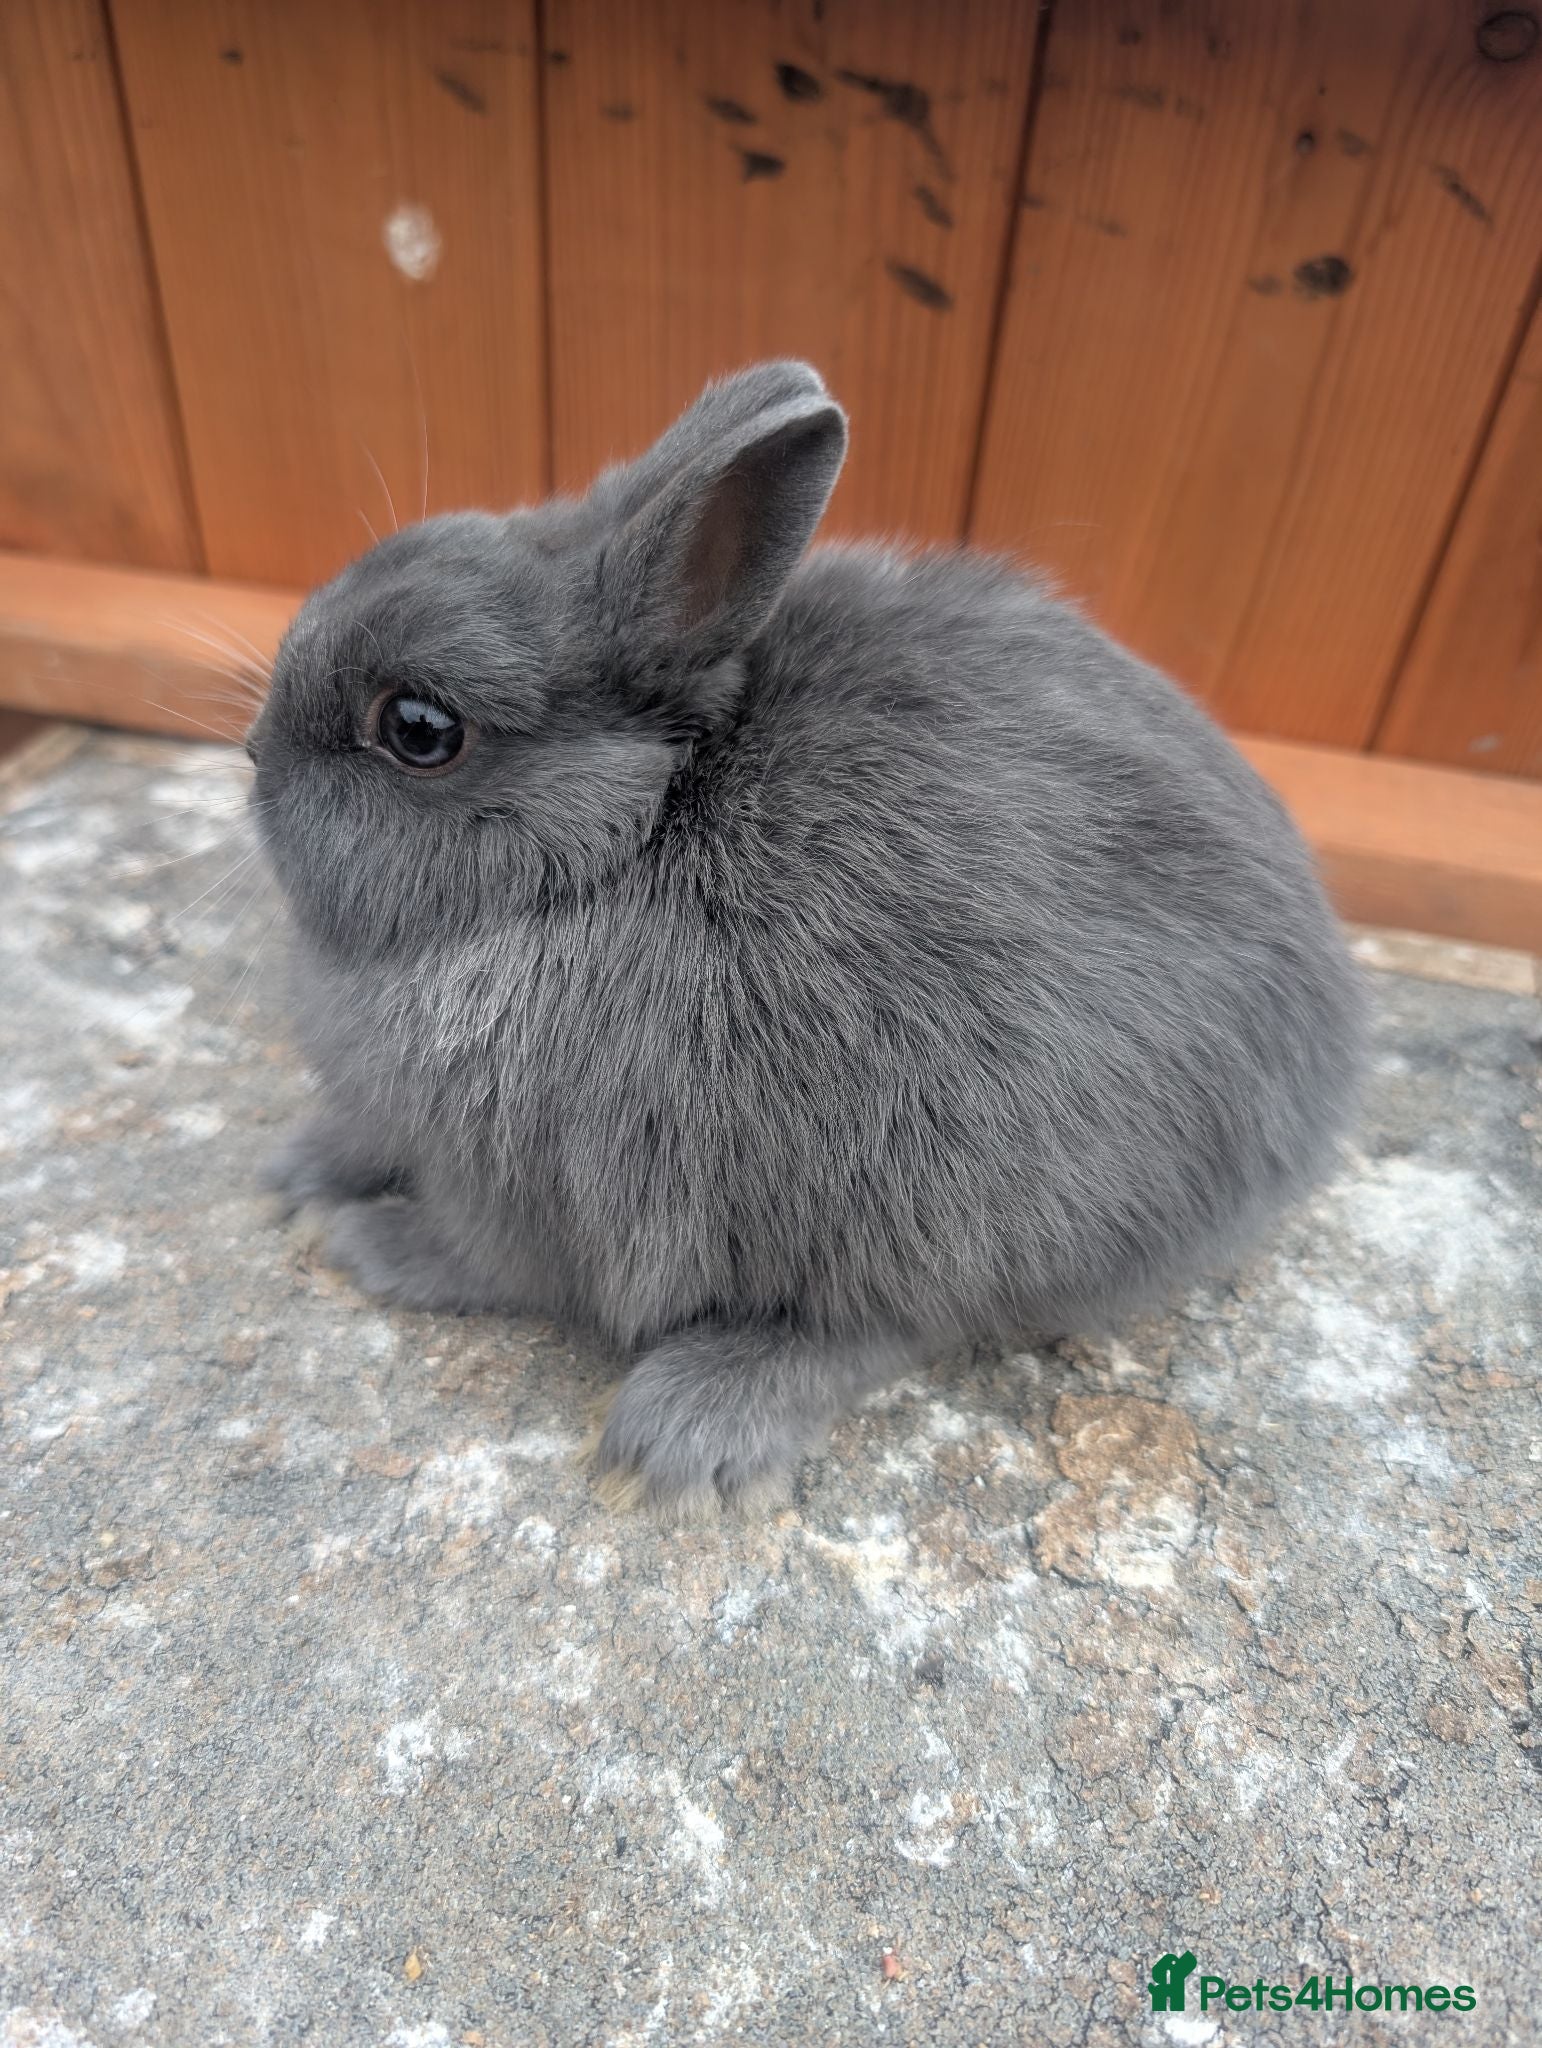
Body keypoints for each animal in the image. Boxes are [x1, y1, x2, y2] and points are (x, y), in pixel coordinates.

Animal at [248, 359, 1365, 1517]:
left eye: (419, 729)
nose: (250, 755)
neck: (623, 838)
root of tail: (1321, 1080)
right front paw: (300, 1166)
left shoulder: (533, 1195)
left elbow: (482, 1258)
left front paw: (364, 1241)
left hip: (948, 1207)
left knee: (885, 1328)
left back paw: (690, 1420)